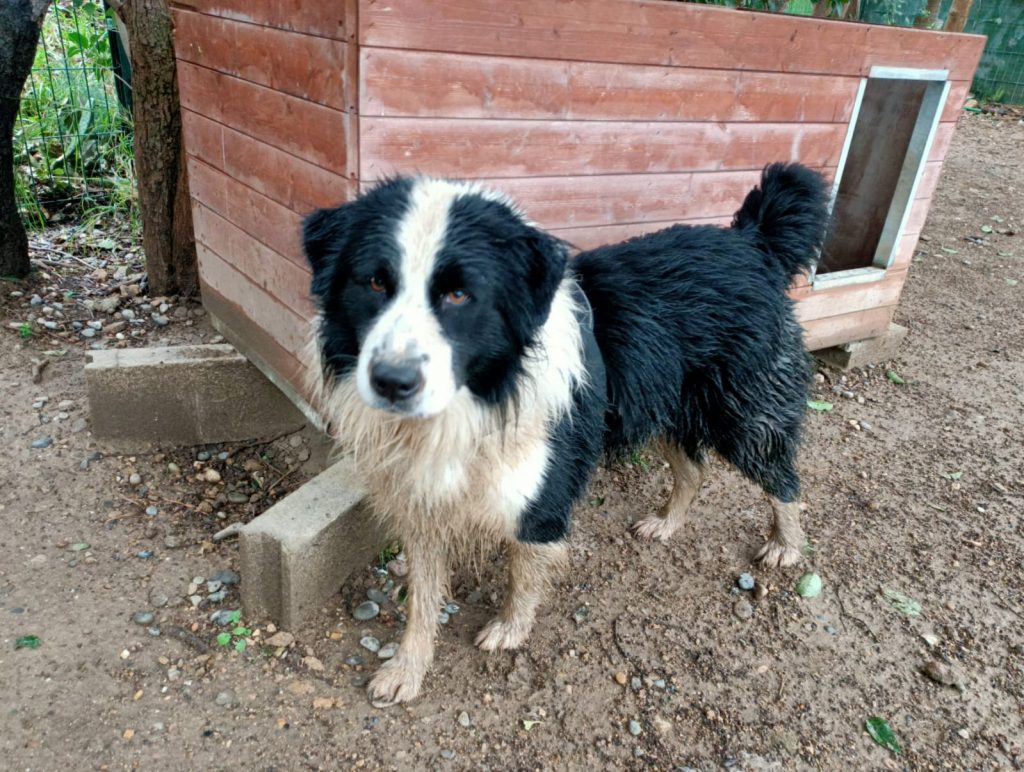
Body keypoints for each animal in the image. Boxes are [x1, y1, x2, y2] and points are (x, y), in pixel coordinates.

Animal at [302, 163, 829, 705]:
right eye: (374, 282)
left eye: (458, 294)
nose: (392, 382)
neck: (479, 400)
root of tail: (752, 241)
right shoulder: (421, 503)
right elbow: (422, 599)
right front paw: (407, 668)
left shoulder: (541, 498)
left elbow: (522, 574)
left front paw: (509, 630)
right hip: (657, 402)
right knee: (693, 470)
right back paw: (667, 522)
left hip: (743, 415)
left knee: (784, 480)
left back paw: (786, 546)